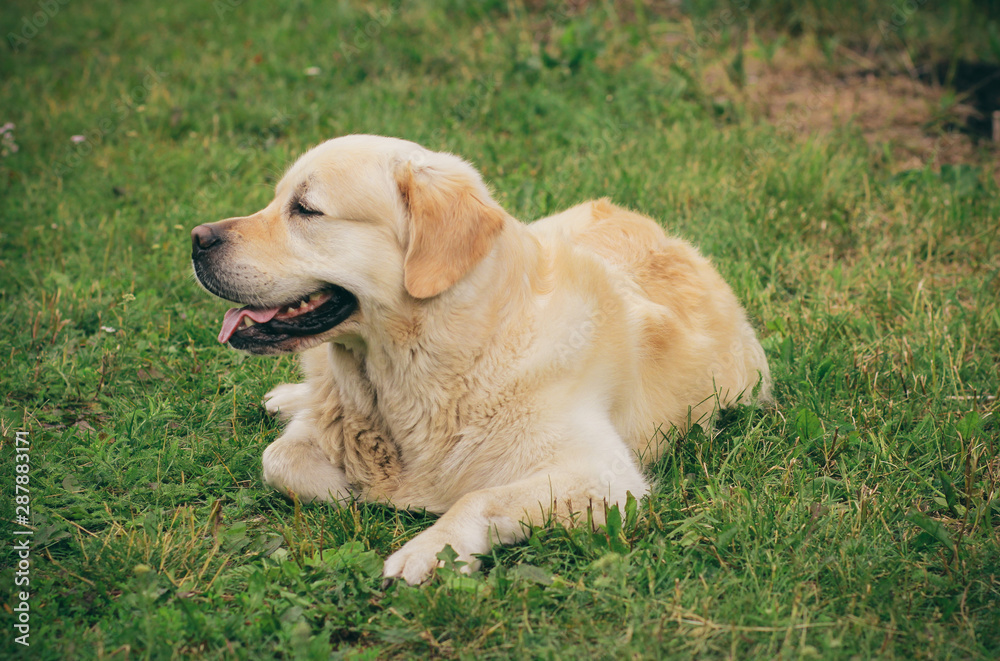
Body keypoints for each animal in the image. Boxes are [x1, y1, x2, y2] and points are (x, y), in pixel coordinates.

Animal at [193, 134, 772, 584]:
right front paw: (365, 489)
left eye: (306, 209)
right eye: (275, 202)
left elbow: (476, 497)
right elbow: (279, 460)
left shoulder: (604, 475)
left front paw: (428, 547)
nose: (196, 238)